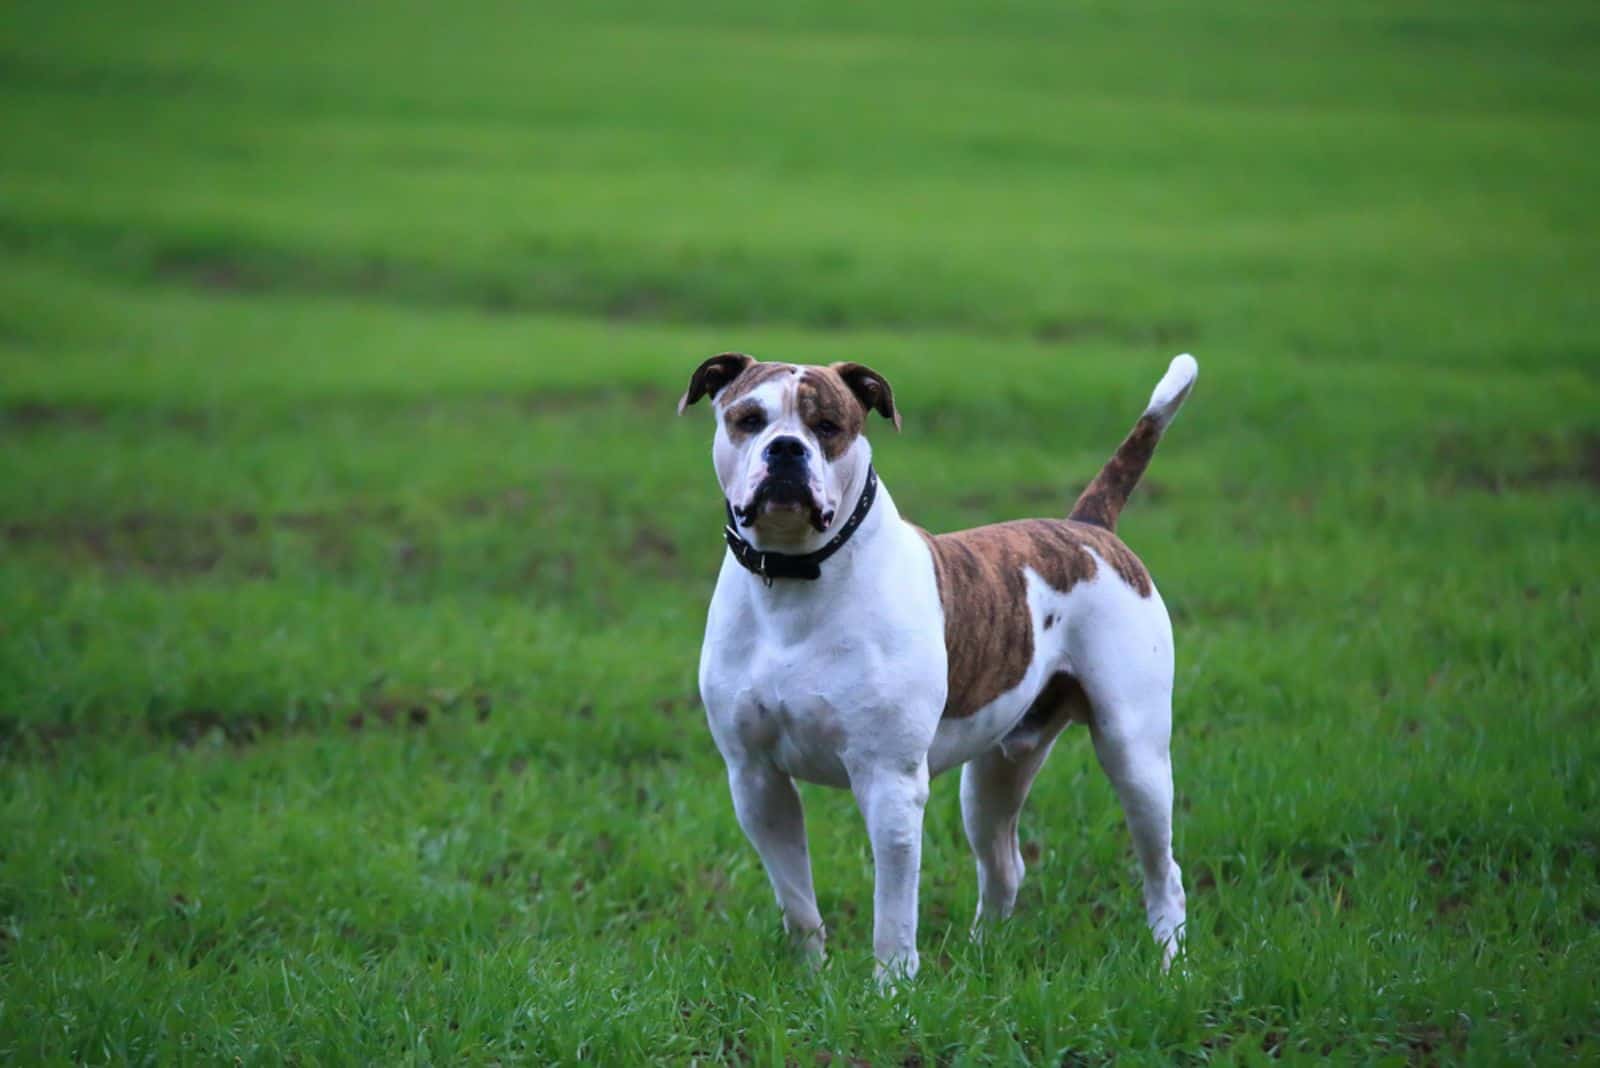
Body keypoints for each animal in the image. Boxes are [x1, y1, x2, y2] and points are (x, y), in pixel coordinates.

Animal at [678, 351, 1203, 984]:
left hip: (1134, 752)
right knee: (1004, 866)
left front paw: (892, 990)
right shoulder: (756, 780)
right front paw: (810, 980)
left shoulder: (890, 781)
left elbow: (892, 911)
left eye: (828, 425)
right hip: (995, 773)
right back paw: (982, 959)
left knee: (1164, 871)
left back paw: (1170, 966)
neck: (795, 576)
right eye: (748, 419)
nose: (785, 449)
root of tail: (1089, 529)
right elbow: (797, 900)